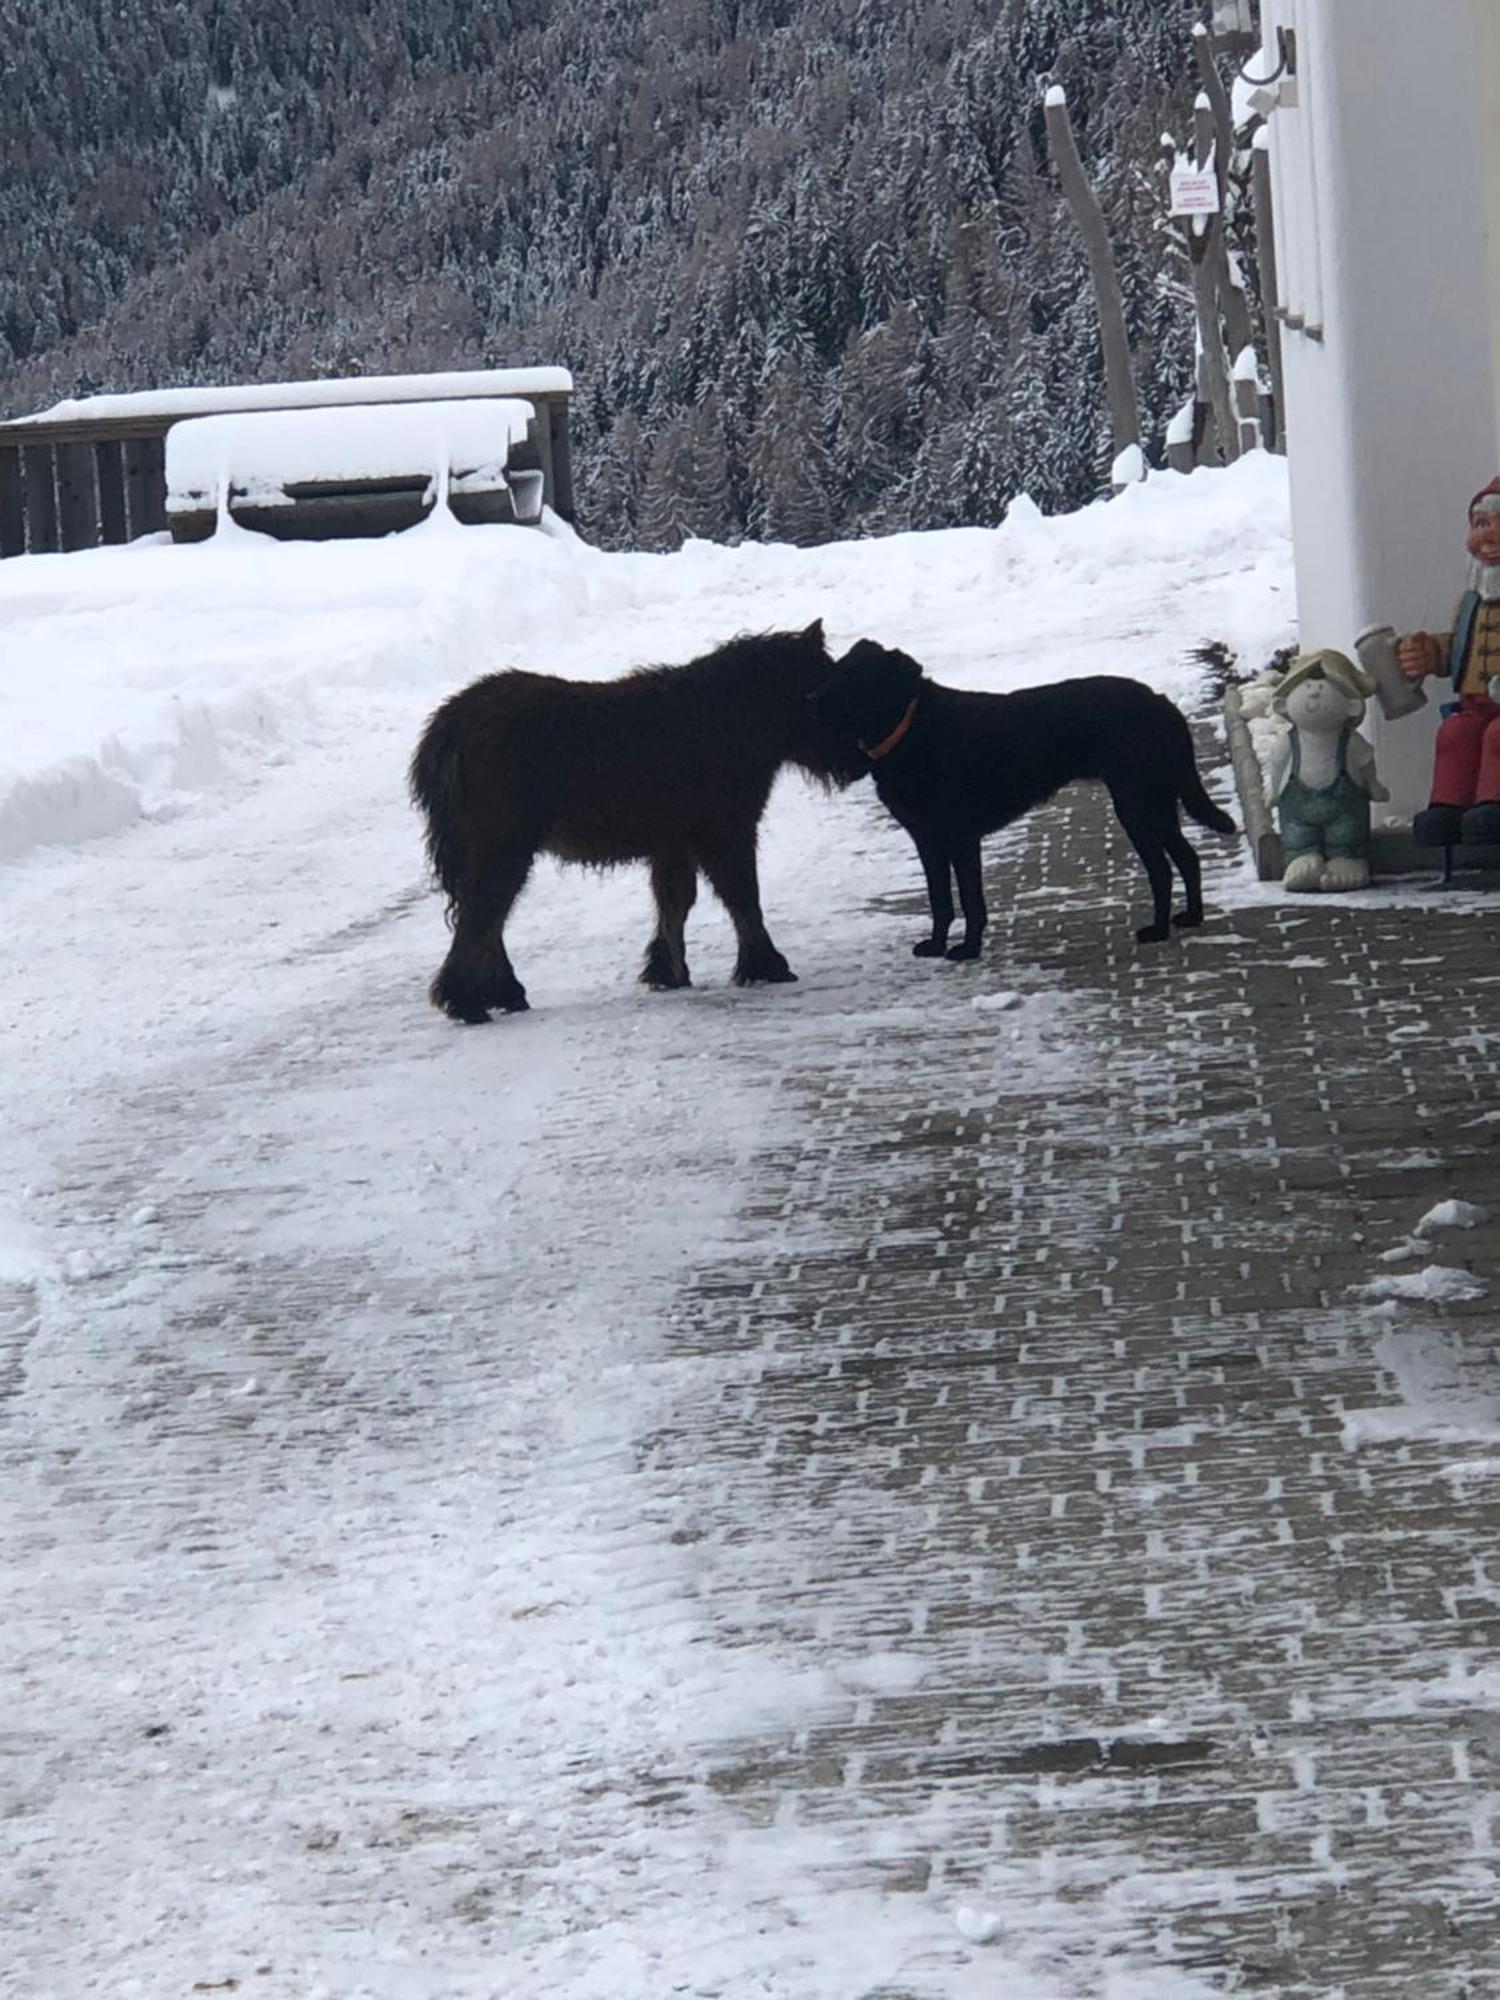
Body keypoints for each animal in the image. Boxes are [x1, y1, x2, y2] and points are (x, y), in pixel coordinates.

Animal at [412, 616, 864, 1024]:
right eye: (818, 690)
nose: (858, 761)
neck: (727, 719)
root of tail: (448, 730)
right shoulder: (726, 833)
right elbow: (742, 898)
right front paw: (766, 966)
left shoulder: (675, 844)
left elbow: (675, 904)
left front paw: (668, 973)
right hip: (502, 848)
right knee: (481, 917)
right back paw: (465, 1003)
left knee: (487, 919)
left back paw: (503, 994)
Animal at [816, 636, 1240, 956]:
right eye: (838, 670)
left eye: (856, 678)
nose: (813, 698)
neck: (909, 729)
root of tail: (1163, 703)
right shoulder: (927, 840)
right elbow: (939, 899)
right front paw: (937, 946)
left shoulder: (960, 836)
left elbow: (969, 898)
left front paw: (968, 949)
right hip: (1157, 801)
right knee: (1187, 857)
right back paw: (1192, 917)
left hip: (1135, 804)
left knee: (1162, 868)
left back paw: (1158, 930)